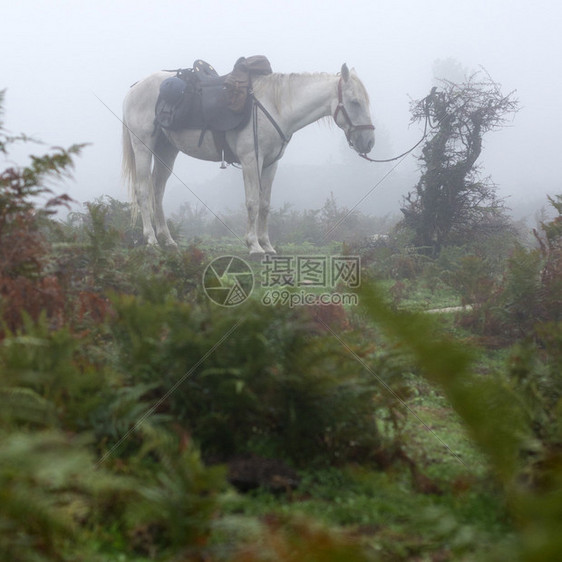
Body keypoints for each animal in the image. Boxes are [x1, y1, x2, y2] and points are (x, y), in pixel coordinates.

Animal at [123, 62, 376, 253]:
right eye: (355, 102)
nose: (369, 142)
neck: (274, 107)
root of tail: (134, 88)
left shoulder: (271, 164)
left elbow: (264, 204)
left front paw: (267, 245)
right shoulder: (251, 160)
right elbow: (252, 202)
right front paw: (254, 245)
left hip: (167, 150)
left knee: (157, 192)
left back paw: (167, 240)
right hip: (143, 147)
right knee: (143, 191)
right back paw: (151, 239)